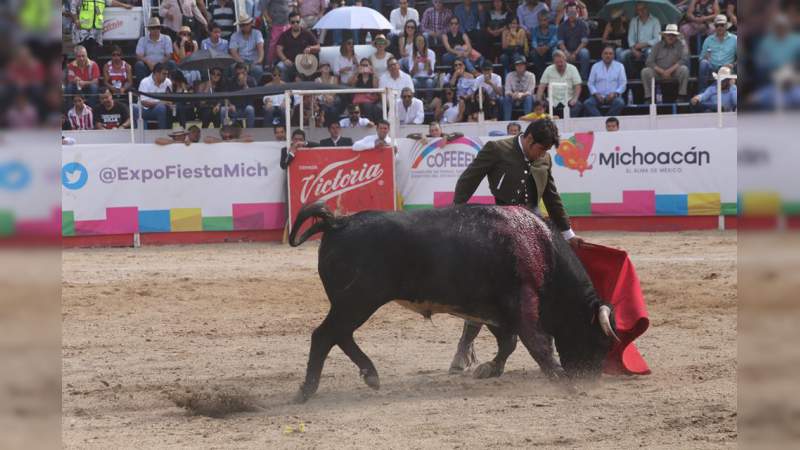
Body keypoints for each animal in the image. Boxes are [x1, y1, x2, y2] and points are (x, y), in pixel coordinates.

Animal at [290, 202, 620, 402]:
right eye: (601, 341)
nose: (590, 380)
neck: (542, 249)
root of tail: (338, 223)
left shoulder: (494, 310)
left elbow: (509, 342)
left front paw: (488, 369)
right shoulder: (521, 302)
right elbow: (536, 342)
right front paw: (562, 379)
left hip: (352, 303)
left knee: (339, 335)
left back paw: (370, 376)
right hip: (357, 301)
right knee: (324, 335)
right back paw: (306, 391)